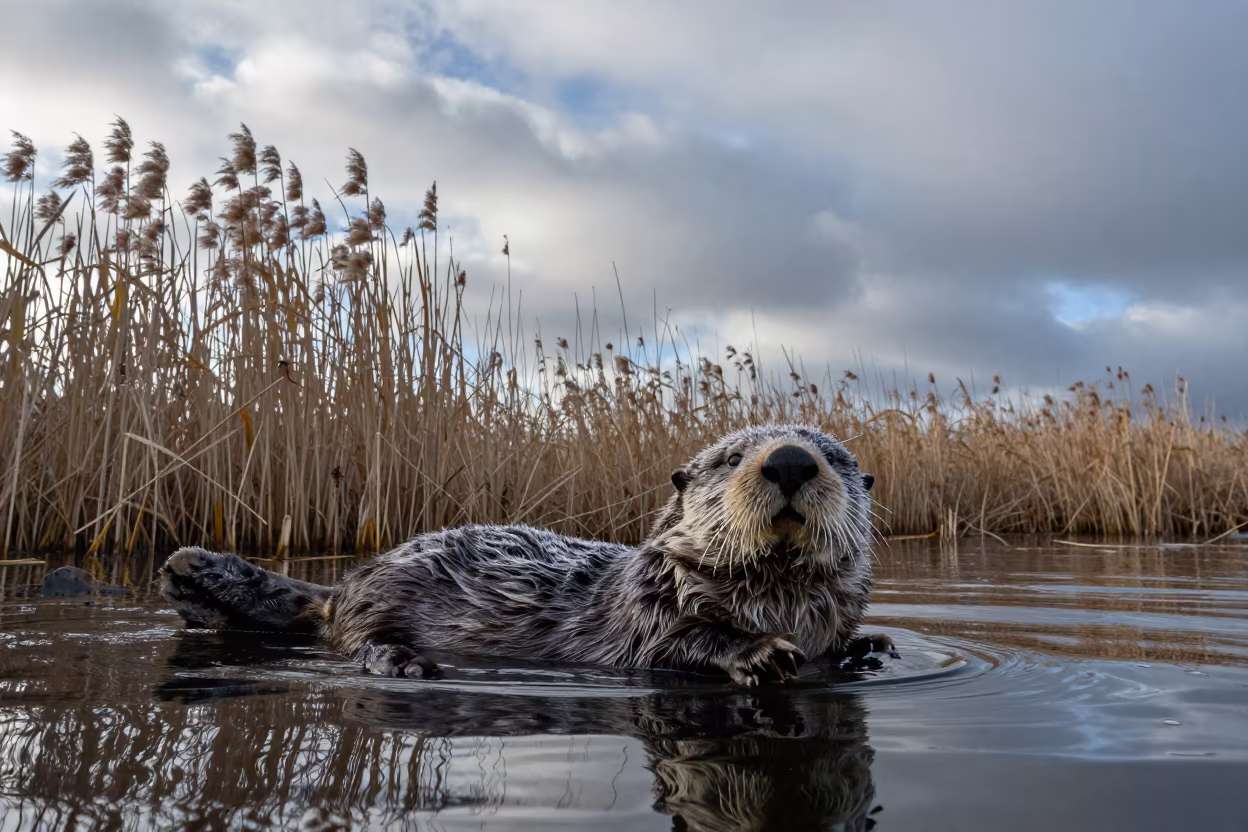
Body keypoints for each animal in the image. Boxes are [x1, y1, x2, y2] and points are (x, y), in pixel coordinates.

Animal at [160, 424, 896, 686]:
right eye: (733, 456)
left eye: (834, 455)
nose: (791, 461)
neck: (776, 600)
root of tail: (345, 586)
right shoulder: (642, 621)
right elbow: (680, 645)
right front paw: (760, 652)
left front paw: (873, 645)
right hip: (378, 601)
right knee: (358, 642)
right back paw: (402, 662)